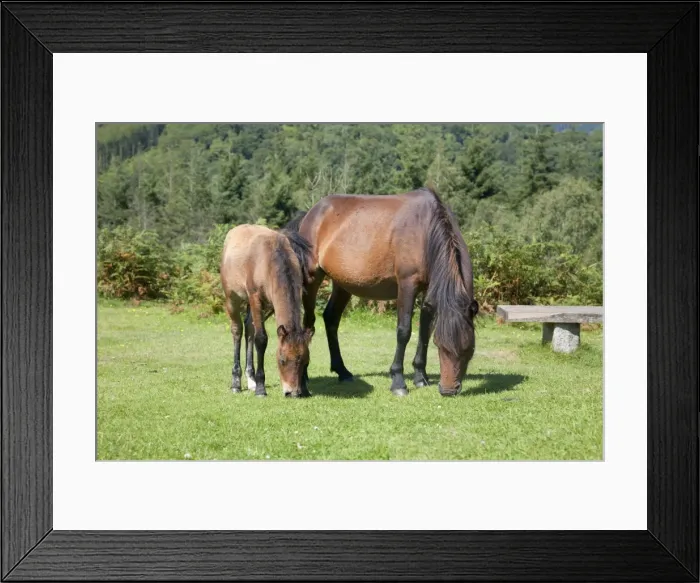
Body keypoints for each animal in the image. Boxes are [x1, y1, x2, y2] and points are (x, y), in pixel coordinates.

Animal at [220, 224, 314, 398]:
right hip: (232, 298)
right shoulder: (255, 297)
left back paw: (250, 380)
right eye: (282, 360)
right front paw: (260, 388)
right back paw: (236, 383)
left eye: (306, 361)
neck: (270, 260)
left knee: (249, 328)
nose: (292, 392)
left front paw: (304, 387)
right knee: (237, 330)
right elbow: (261, 339)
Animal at [285, 186, 478, 397]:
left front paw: (421, 377)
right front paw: (398, 382)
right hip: (312, 279)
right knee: (308, 323)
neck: (426, 230)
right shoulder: (407, 285)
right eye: (441, 346)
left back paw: (343, 371)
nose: (448, 390)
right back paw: (303, 377)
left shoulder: (428, 289)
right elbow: (404, 331)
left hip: (343, 283)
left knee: (331, 318)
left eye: (469, 349)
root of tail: (310, 214)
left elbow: (425, 330)